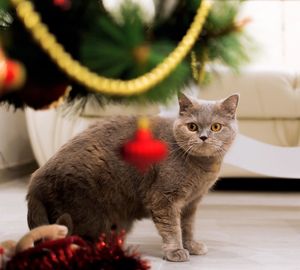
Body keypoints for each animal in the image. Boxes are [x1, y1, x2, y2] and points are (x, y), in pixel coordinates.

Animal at [27, 94, 240, 262]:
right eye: (192, 126)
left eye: (216, 127)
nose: (203, 137)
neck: (202, 167)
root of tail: (35, 183)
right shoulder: (163, 198)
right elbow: (172, 227)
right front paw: (175, 251)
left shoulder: (191, 203)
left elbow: (187, 227)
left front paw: (191, 246)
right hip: (87, 212)